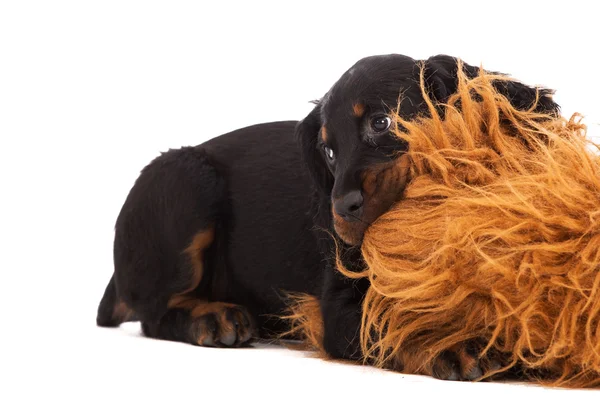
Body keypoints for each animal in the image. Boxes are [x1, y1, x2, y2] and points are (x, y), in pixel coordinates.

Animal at [96, 54, 556, 380]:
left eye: (381, 122)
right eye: (329, 152)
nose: (340, 210)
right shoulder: (338, 308)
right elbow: (391, 322)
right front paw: (451, 343)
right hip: (186, 179)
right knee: (155, 312)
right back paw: (213, 317)